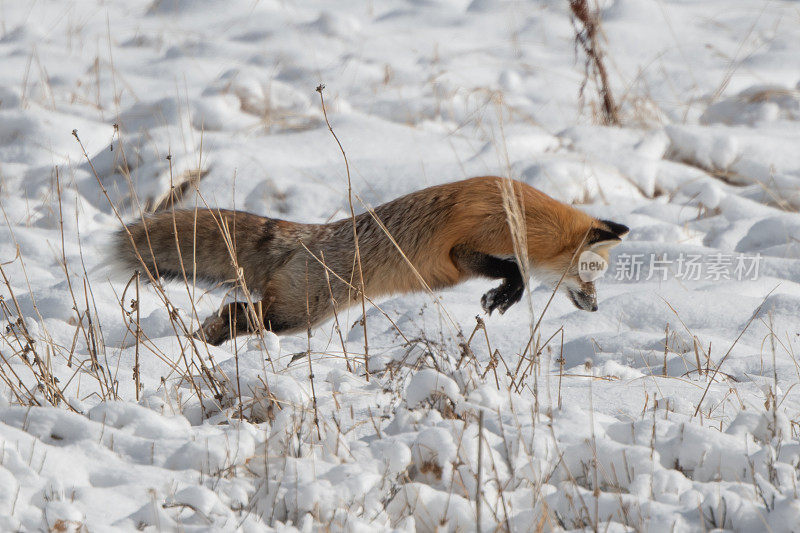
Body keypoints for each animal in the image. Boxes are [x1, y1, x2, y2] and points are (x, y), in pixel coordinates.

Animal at [117, 178, 632, 344]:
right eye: (591, 275)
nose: (597, 307)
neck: (524, 215)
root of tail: (309, 236)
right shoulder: (462, 250)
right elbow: (515, 270)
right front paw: (504, 295)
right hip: (297, 316)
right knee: (236, 312)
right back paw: (210, 340)